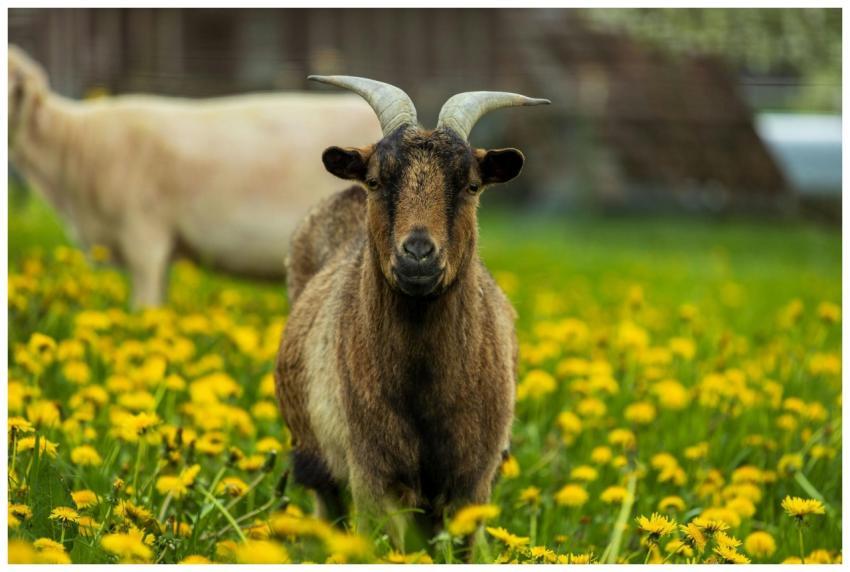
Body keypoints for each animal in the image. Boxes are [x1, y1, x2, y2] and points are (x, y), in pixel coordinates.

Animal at [275, 75, 548, 552]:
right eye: (375, 180)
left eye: (471, 185)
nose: (418, 253)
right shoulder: (372, 474)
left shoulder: (473, 481)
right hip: (317, 459)